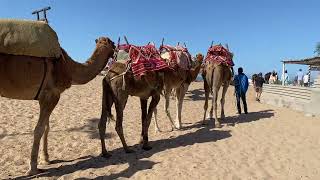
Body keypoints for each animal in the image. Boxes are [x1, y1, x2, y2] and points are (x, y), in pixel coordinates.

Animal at [0, 35, 115, 175]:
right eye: (113, 43)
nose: (116, 48)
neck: (68, 67)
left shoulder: (44, 97)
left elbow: (46, 127)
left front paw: (46, 158)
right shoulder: (52, 94)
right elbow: (39, 129)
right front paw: (33, 168)